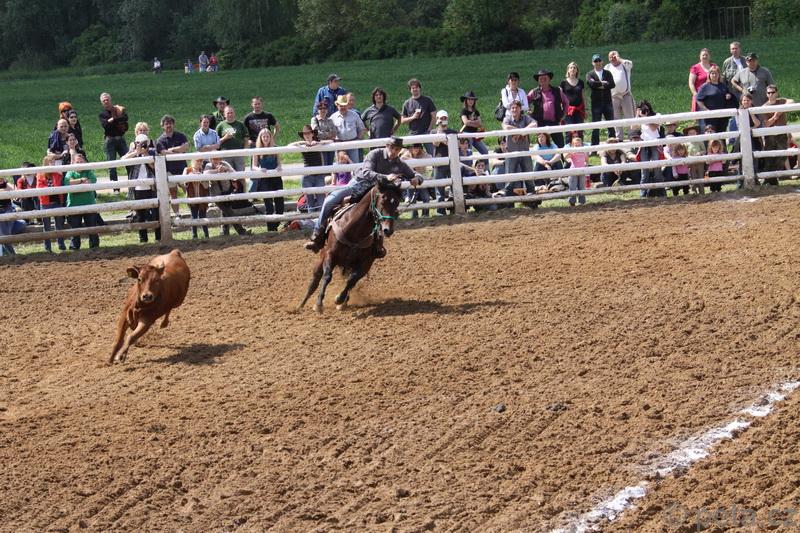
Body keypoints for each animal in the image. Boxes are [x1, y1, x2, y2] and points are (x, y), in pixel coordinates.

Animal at [299, 177, 403, 312]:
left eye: (396, 203)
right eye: (382, 201)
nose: (388, 230)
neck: (354, 229)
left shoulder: (366, 262)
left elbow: (351, 280)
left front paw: (339, 299)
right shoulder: (330, 254)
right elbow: (327, 276)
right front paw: (318, 304)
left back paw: (344, 302)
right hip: (321, 257)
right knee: (314, 281)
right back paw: (300, 306)